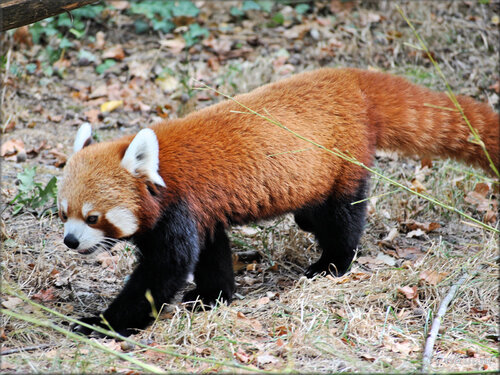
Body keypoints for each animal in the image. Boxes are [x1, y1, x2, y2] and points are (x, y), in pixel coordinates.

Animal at [56, 68, 498, 338]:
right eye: (63, 214)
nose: (70, 242)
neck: (162, 175)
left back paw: (332, 264)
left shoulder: (179, 208)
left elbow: (162, 273)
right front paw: (212, 297)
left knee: (342, 216)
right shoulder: (202, 213)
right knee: (314, 215)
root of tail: (352, 80)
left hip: (342, 159)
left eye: (93, 217)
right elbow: (212, 253)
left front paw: (99, 323)